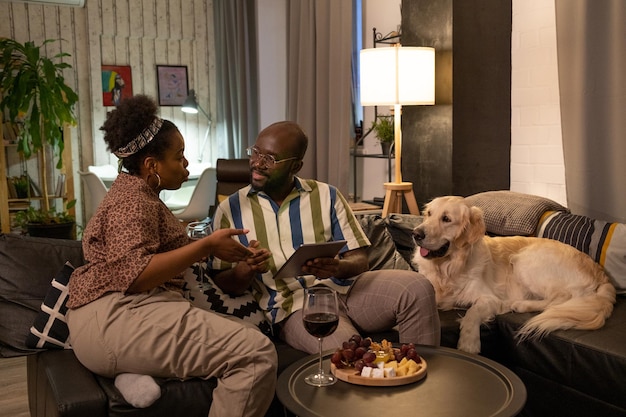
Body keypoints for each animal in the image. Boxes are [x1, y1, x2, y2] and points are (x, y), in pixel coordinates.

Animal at [412, 197, 612, 352]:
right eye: (428, 214)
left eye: (446, 219)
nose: (416, 233)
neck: (448, 268)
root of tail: (600, 273)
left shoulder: (489, 298)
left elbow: (471, 313)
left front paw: (469, 343)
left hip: (524, 260)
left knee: (560, 298)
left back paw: (519, 304)